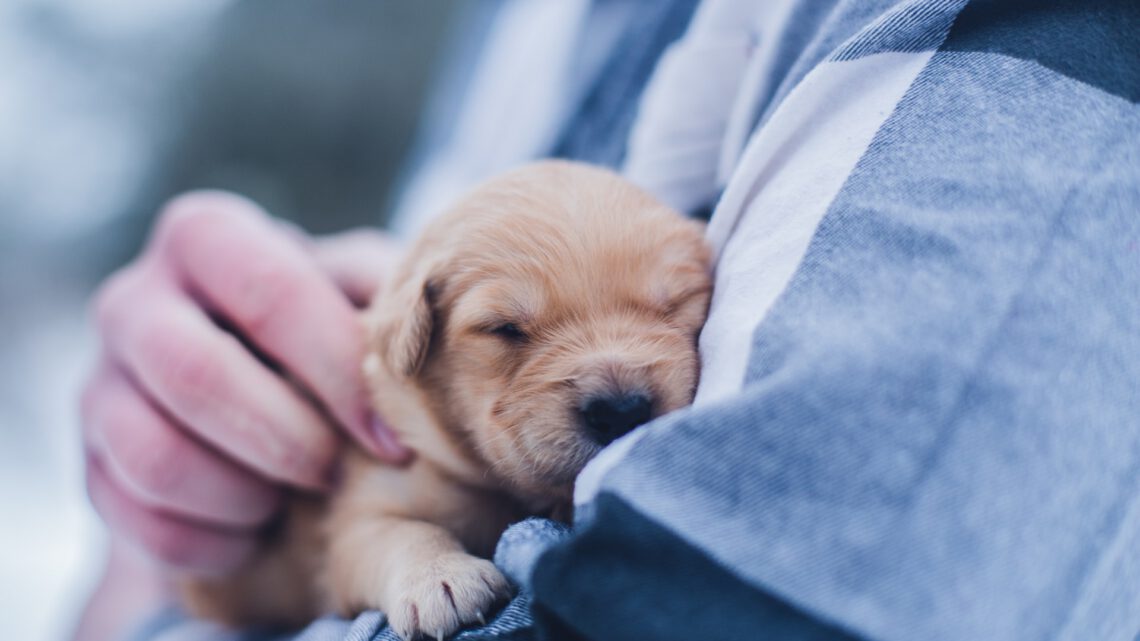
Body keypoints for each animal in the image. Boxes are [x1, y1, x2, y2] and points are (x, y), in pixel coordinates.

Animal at [181, 159, 706, 638]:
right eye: (504, 329)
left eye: (676, 303)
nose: (620, 411)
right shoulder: (360, 510)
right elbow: (398, 532)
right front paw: (440, 578)